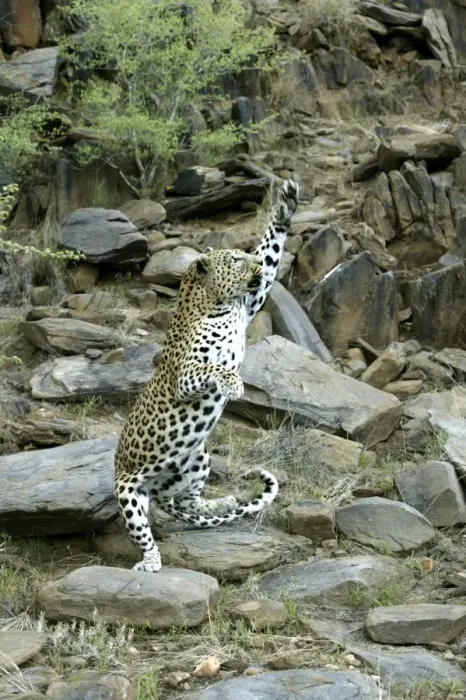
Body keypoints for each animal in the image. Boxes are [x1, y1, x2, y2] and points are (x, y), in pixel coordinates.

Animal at [114, 178, 299, 572]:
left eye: (246, 255)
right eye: (236, 260)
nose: (252, 262)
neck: (220, 305)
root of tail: (156, 491)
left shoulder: (253, 301)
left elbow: (271, 252)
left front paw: (284, 207)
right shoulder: (185, 377)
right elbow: (212, 366)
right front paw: (233, 384)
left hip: (198, 458)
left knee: (188, 503)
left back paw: (221, 502)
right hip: (129, 492)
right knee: (145, 531)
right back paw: (150, 561)